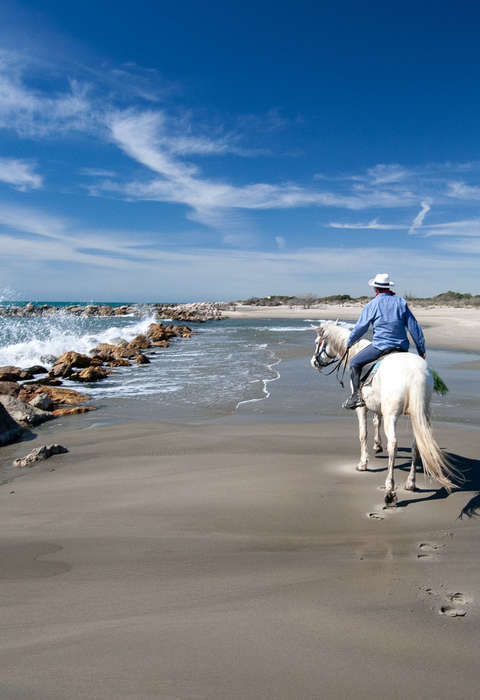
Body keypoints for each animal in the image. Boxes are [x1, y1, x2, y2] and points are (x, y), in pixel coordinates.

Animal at [311, 321, 455, 505]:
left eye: (317, 342)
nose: (314, 362)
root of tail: (415, 372)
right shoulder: (377, 407)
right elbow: (376, 422)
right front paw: (377, 445)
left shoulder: (362, 407)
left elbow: (363, 434)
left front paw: (363, 463)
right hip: (420, 415)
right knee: (417, 445)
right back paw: (410, 483)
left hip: (391, 415)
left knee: (393, 444)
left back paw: (389, 489)